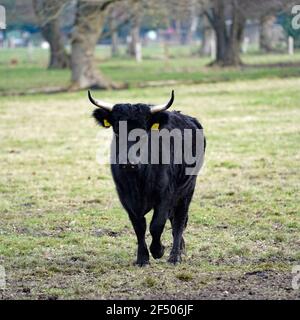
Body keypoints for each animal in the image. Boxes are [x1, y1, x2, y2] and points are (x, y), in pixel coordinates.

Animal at [88, 91, 205, 266]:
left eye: (143, 132)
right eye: (117, 129)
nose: (128, 163)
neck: (138, 180)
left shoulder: (165, 195)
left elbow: (156, 224)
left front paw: (158, 251)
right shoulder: (126, 198)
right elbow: (139, 226)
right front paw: (142, 258)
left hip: (187, 189)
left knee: (179, 220)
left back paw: (175, 256)